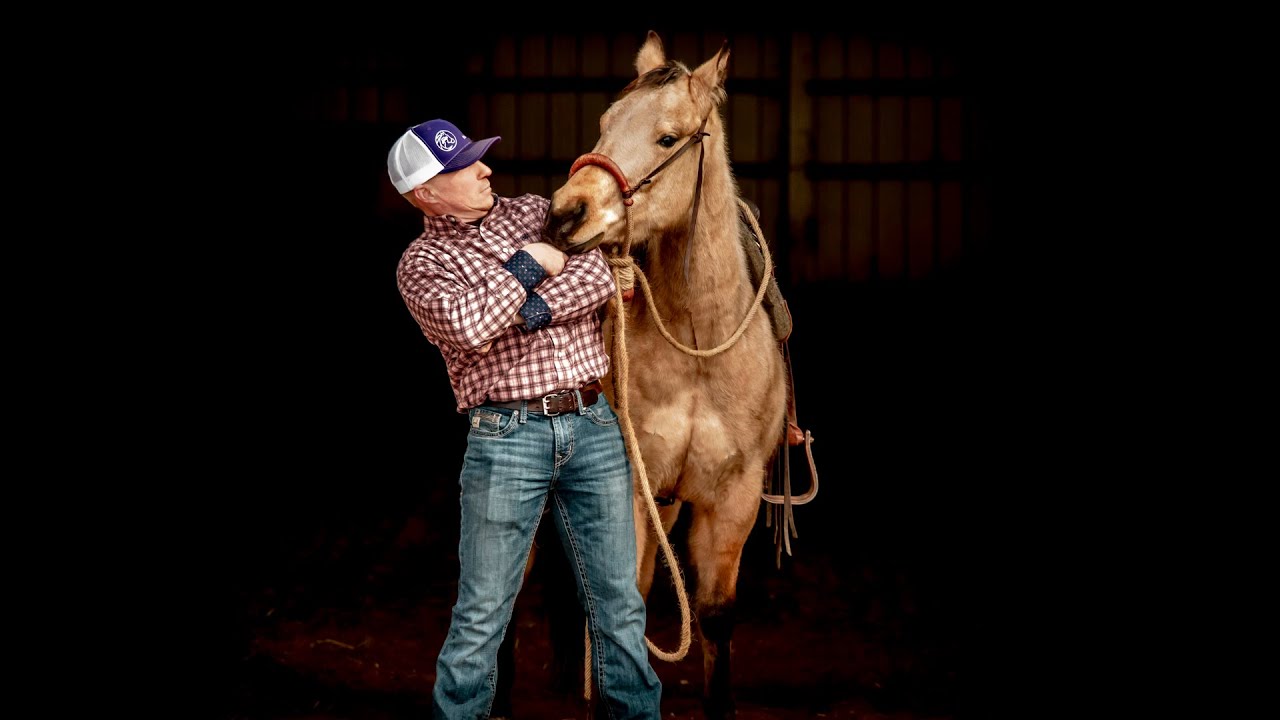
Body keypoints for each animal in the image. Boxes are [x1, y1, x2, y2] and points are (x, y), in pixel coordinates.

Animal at [540, 31, 789, 720]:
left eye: (668, 138)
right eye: (604, 125)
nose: (565, 215)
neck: (699, 346)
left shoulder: (733, 498)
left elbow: (715, 616)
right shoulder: (627, 485)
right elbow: (617, 599)